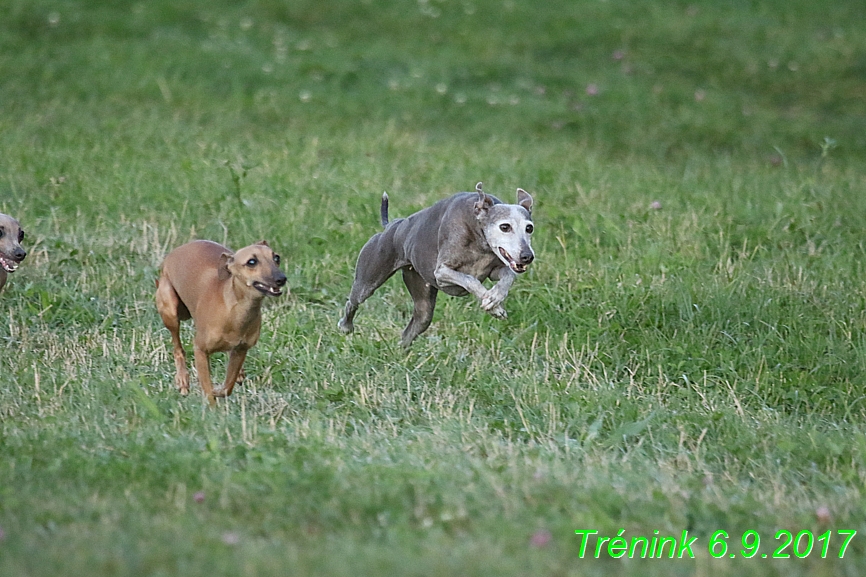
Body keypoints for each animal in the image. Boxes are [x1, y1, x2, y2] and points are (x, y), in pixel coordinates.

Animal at [155, 238, 286, 400]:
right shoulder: (200, 350)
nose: (281, 279)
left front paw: (219, 390)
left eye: (276, 258)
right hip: (170, 310)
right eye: (252, 262)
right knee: (178, 349)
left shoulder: (241, 349)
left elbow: (227, 387)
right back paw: (182, 380)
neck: (235, 311)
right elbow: (208, 392)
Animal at [338, 182, 532, 346]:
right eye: (505, 227)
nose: (527, 256)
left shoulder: (496, 270)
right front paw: (493, 305)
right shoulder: (442, 273)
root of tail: (390, 225)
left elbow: (508, 276)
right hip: (368, 280)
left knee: (412, 328)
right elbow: (471, 280)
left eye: (529, 228)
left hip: (422, 306)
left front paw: (495, 298)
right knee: (352, 302)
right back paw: (345, 326)